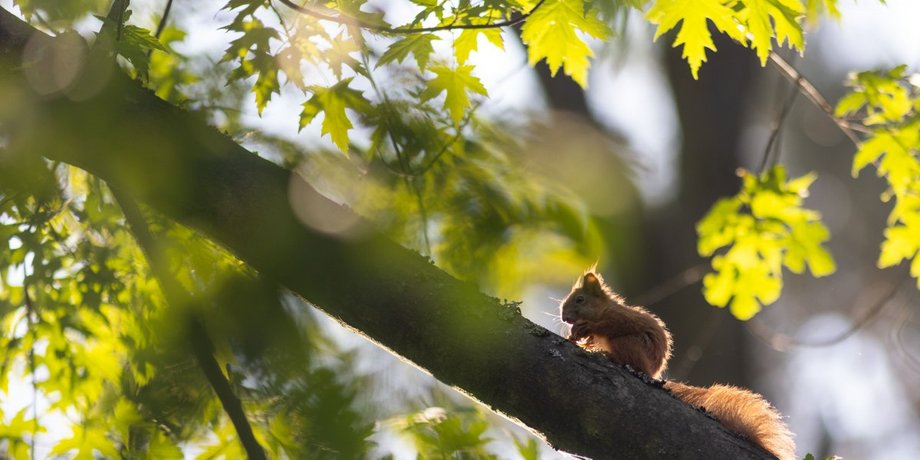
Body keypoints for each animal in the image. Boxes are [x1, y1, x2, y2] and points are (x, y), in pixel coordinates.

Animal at [560, 269, 795, 460]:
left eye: (580, 300)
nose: (563, 317)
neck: (604, 308)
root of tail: (652, 374)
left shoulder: (621, 318)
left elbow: (612, 325)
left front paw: (586, 329)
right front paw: (579, 337)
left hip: (630, 344)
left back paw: (610, 356)